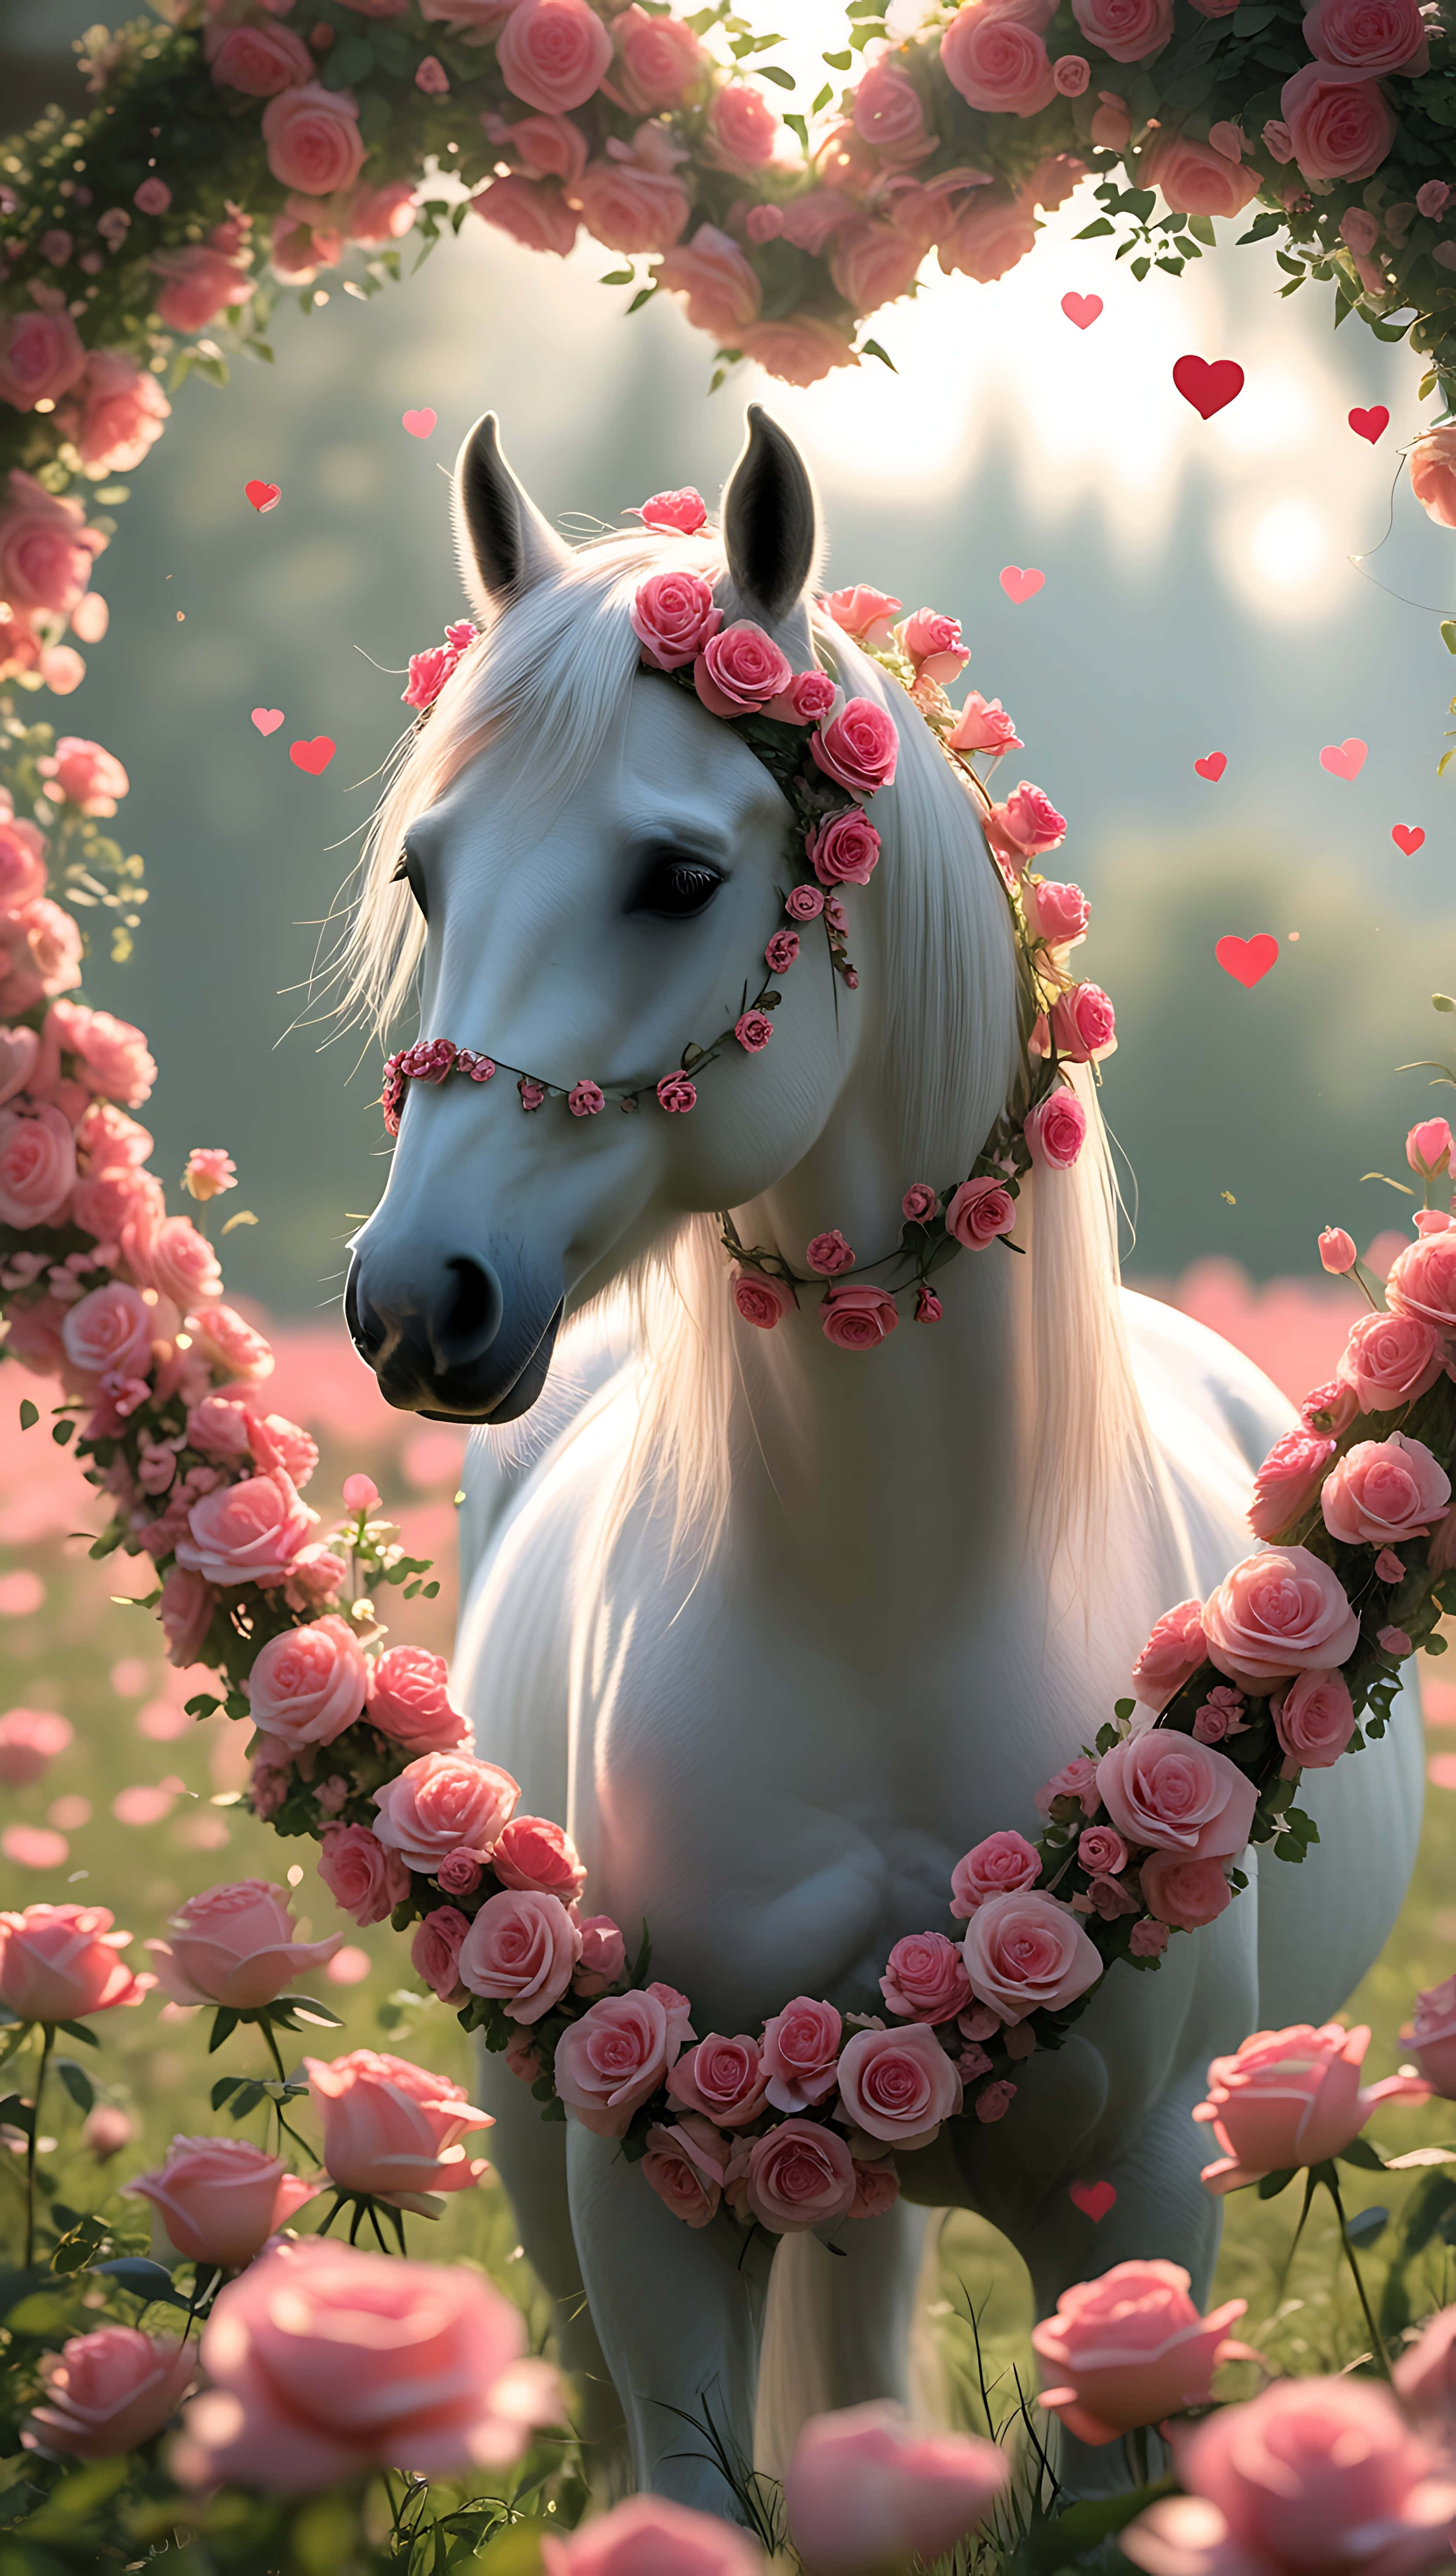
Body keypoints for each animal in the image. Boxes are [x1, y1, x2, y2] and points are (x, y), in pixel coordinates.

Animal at [341, 406, 1424, 2517]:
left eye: (679, 873)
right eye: (428, 874)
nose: (414, 1301)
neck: (887, 1596)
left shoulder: (1136, 2202)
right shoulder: (641, 2167)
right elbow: (682, 2498)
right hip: (562, 2143)